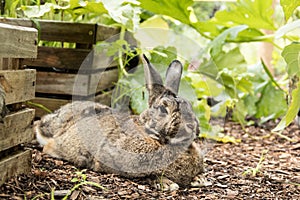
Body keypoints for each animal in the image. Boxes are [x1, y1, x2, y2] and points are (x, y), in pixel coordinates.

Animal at [34, 54, 204, 186]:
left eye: (189, 106)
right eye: (163, 109)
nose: (194, 127)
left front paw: (199, 180)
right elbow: (149, 175)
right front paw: (168, 184)